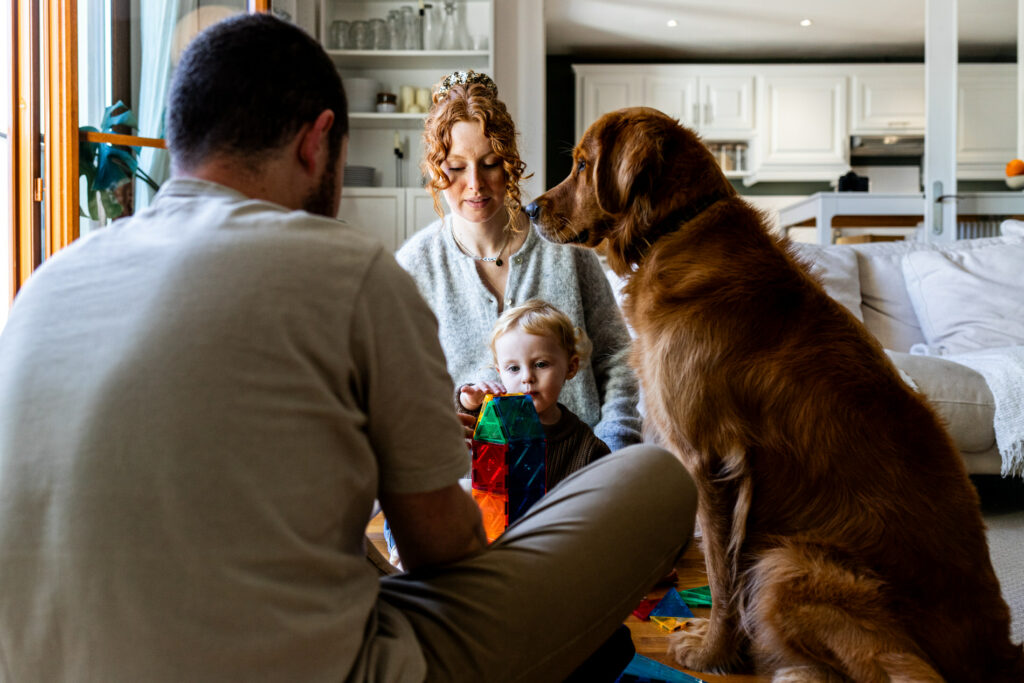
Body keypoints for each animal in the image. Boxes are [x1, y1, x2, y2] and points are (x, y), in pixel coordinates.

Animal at [528, 107, 1024, 679]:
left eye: (582, 164)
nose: (529, 208)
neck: (677, 229)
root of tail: (999, 650)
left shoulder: (710, 460)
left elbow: (721, 576)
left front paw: (713, 655)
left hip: (790, 562)